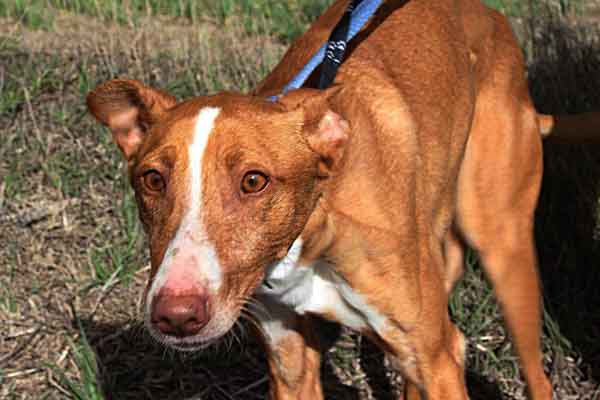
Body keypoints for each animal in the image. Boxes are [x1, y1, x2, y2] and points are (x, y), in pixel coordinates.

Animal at [85, 1, 600, 398]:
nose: (175, 317)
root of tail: (491, 15)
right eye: (153, 180)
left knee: (537, 375)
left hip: (501, 244)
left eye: (253, 181)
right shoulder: (290, 359)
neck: (314, 227)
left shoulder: (436, 358)